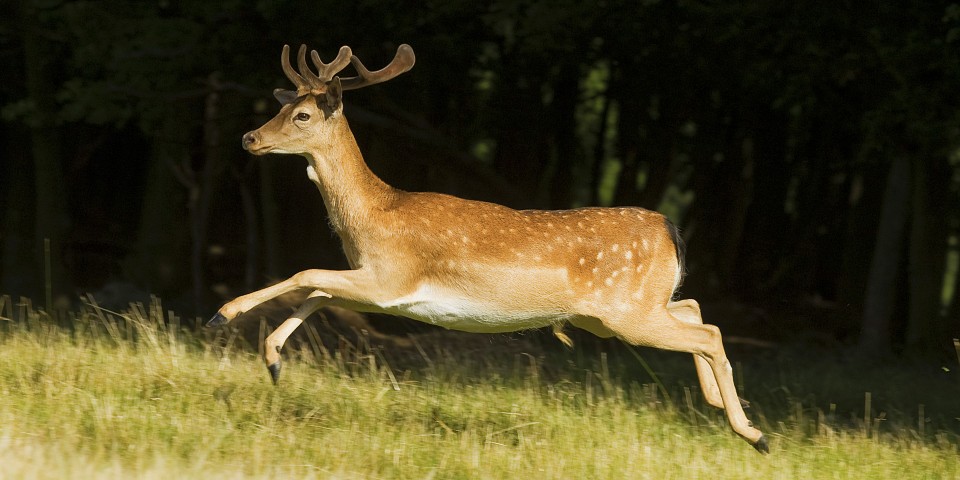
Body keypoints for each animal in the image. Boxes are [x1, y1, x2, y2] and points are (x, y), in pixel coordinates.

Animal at [206, 42, 768, 454]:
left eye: (301, 115)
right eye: (281, 105)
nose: (249, 138)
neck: (373, 215)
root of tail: (671, 228)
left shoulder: (392, 275)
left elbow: (306, 276)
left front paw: (223, 314)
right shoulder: (378, 287)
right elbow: (317, 294)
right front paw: (272, 359)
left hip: (625, 311)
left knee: (709, 333)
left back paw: (754, 434)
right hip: (616, 313)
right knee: (696, 311)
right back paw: (720, 407)